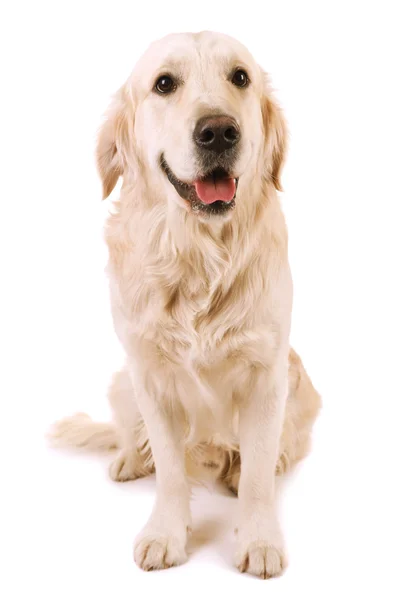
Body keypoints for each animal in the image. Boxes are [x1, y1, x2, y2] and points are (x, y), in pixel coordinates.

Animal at [51, 31, 322, 576]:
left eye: (240, 76)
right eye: (163, 84)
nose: (218, 132)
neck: (199, 256)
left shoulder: (268, 376)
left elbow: (258, 475)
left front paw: (259, 538)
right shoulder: (151, 377)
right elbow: (171, 469)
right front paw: (165, 534)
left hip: (300, 384)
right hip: (123, 381)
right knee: (135, 436)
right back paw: (130, 460)